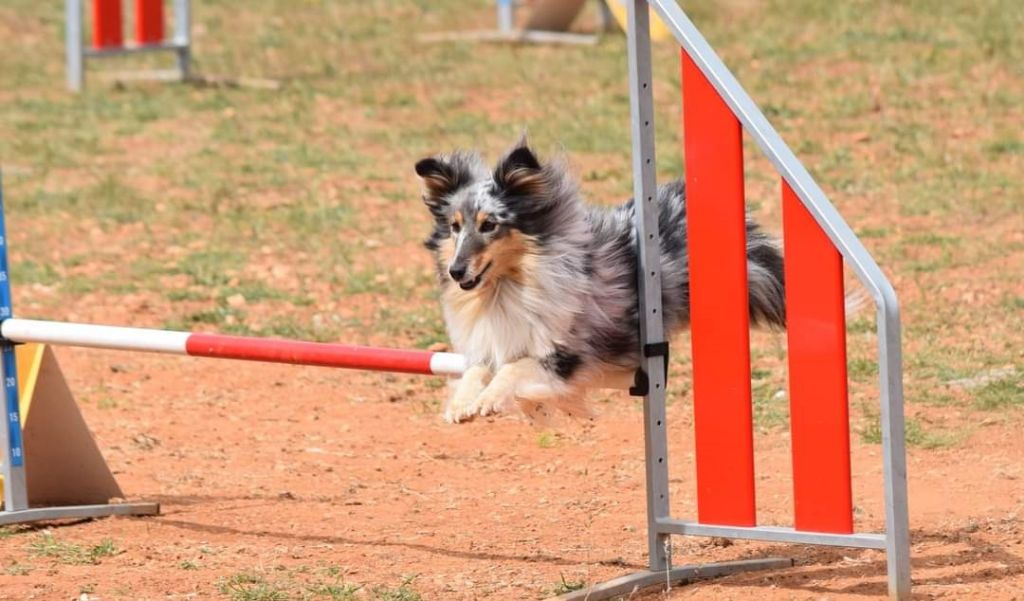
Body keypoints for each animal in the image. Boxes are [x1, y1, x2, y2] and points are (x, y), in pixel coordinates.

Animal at [415, 141, 782, 423]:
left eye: (489, 225)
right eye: (454, 227)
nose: (456, 271)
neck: (507, 288)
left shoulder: (564, 357)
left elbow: (513, 369)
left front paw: (488, 400)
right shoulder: (490, 342)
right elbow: (475, 370)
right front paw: (462, 404)